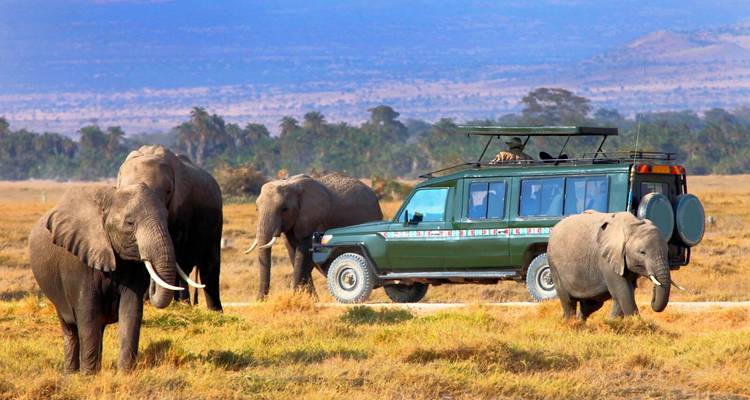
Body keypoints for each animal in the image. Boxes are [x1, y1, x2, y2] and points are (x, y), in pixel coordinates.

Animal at [29, 184, 199, 374]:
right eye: (130, 223)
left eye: (167, 219)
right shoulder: (78, 262)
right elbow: (88, 313)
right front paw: (88, 376)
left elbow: (130, 311)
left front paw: (124, 373)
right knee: (71, 329)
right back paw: (71, 374)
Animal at [246, 173, 383, 299]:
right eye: (257, 209)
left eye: (284, 209)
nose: (260, 301)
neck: (291, 184)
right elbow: (294, 254)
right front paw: (310, 299)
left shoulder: (314, 219)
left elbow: (304, 255)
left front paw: (296, 297)